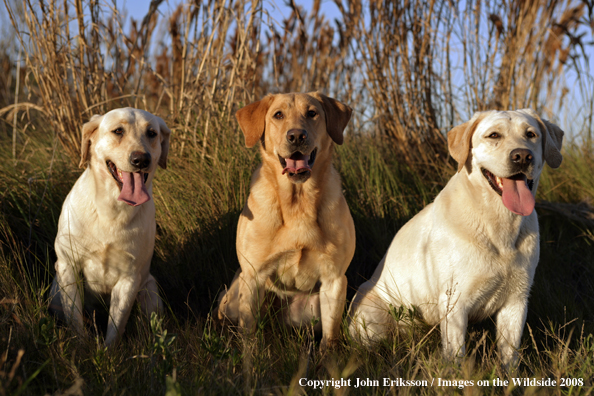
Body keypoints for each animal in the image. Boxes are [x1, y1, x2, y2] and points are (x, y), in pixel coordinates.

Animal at [48, 108, 170, 346]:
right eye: (118, 131)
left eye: (151, 133)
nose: (141, 159)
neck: (112, 209)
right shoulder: (68, 266)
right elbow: (74, 317)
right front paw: (81, 347)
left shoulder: (130, 278)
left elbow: (116, 327)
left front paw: (108, 352)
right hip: (56, 290)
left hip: (150, 292)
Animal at [217, 91, 356, 348]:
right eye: (278, 115)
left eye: (312, 113)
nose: (297, 136)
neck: (297, 202)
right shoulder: (253, 276)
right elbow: (249, 336)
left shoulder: (334, 279)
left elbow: (330, 336)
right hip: (234, 294)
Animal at [350, 108, 560, 366]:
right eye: (494, 135)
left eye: (531, 134)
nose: (522, 156)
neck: (499, 225)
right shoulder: (454, 303)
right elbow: (456, 356)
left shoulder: (516, 301)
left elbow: (510, 356)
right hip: (373, 318)